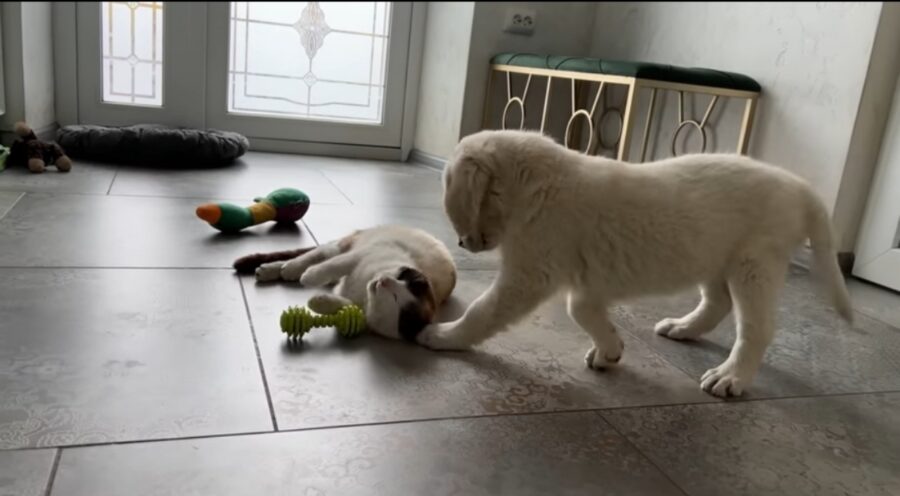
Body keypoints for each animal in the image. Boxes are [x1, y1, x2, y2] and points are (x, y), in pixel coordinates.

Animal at [234, 227, 458, 342]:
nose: (383, 281)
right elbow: (330, 267)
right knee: (315, 256)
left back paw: (274, 270)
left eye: (396, 298)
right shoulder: (358, 256)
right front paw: (308, 277)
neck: (364, 292)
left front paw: (319, 301)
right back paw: (286, 269)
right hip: (342, 247)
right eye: (401, 278)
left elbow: (345, 306)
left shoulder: (362, 312)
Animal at [418, 129, 856, 400]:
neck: (535, 184)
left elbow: (483, 310)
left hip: (754, 263)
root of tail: (801, 189)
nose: (461, 243)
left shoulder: (531, 270)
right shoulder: (581, 279)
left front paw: (443, 335)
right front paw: (609, 350)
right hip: (714, 256)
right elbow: (581, 309)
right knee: (717, 302)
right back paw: (683, 327)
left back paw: (730, 376)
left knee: (755, 328)